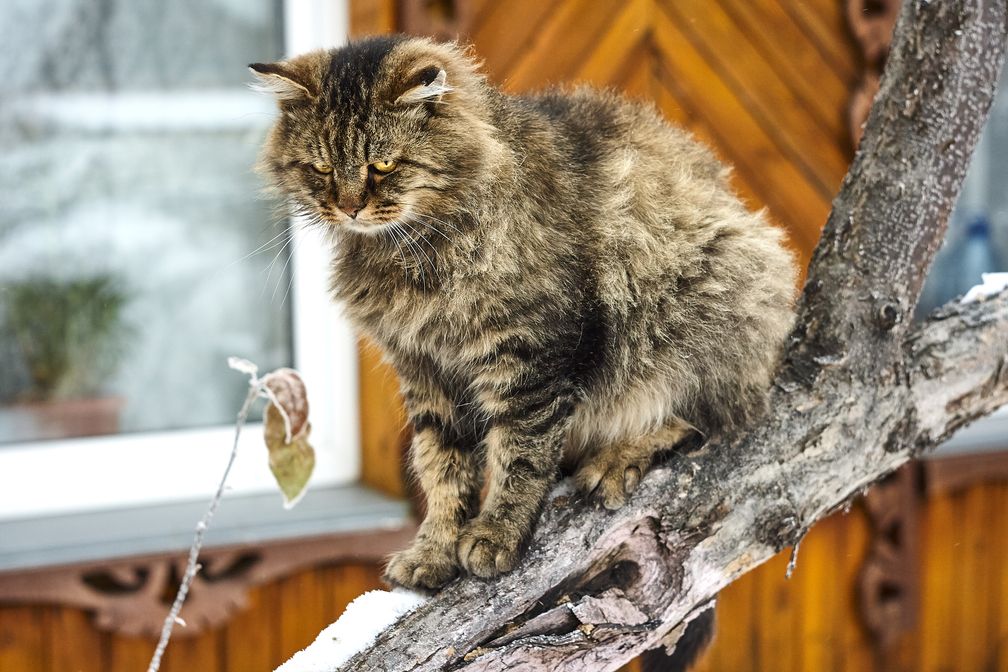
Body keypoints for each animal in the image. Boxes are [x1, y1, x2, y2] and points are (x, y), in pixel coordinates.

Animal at [249, 36, 794, 592]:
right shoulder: (426, 369)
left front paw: (496, 535)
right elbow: (441, 470)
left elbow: (520, 456)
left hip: (703, 297)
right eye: (321, 169)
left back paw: (616, 458)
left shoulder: (530, 353)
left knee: (703, 414)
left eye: (383, 167)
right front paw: (433, 550)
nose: (349, 207)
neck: (410, 255)